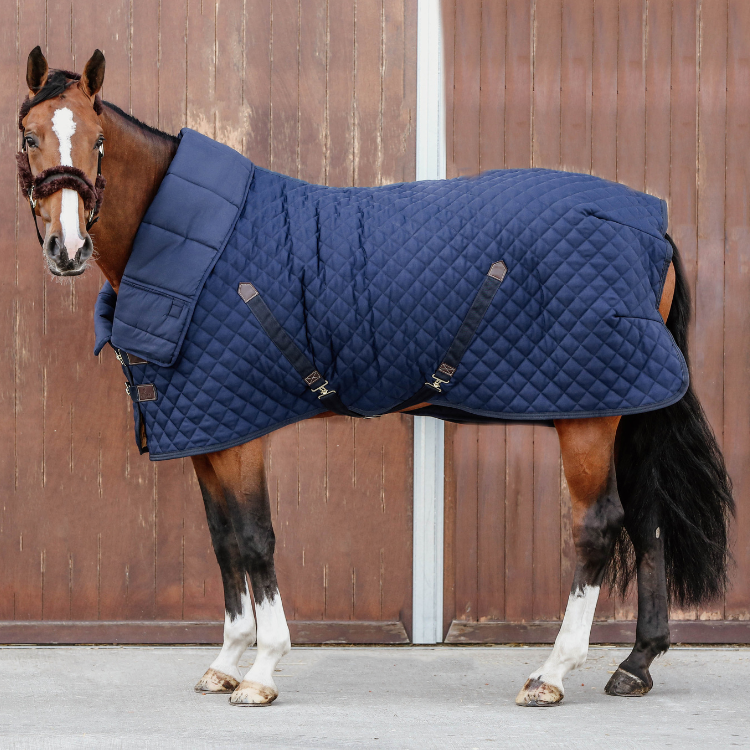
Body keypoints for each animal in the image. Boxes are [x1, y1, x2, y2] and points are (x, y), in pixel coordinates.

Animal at [16, 46, 733, 708]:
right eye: (28, 135)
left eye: (98, 139)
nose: (68, 249)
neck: (196, 249)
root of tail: (654, 229)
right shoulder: (207, 434)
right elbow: (222, 542)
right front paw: (226, 661)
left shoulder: (242, 435)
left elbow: (254, 539)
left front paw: (263, 670)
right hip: (625, 404)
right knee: (647, 518)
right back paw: (635, 663)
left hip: (588, 418)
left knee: (599, 526)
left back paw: (552, 673)